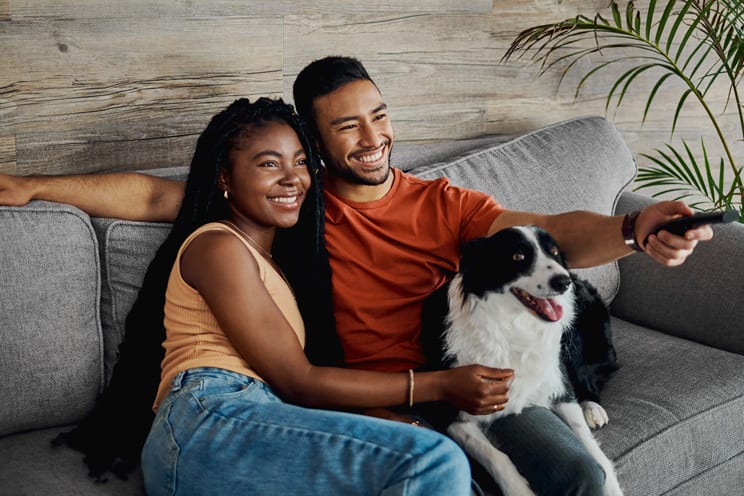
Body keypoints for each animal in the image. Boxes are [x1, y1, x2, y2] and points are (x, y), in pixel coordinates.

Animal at [422, 227, 620, 496]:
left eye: (554, 252)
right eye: (518, 256)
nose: (563, 282)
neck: (513, 327)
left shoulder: (559, 385)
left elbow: (591, 447)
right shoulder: (453, 413)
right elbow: (495, 456)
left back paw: (593, 408)